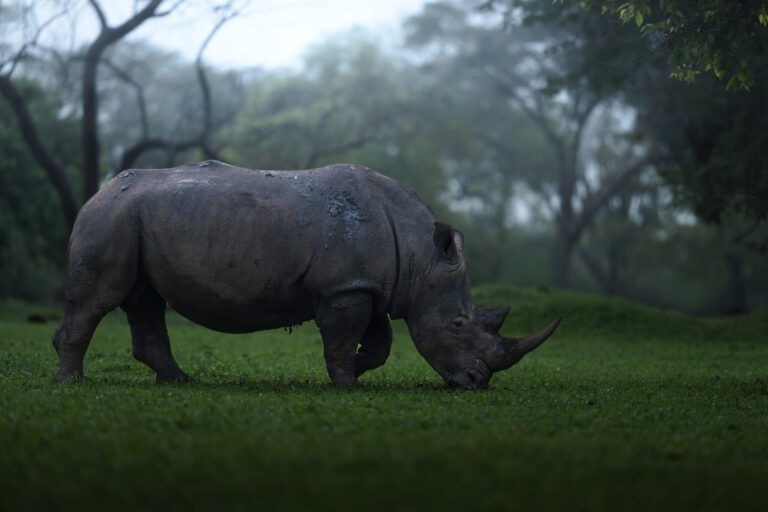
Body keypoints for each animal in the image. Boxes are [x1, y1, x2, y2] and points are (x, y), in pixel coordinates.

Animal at [53, 161, 561, 389]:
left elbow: (380, 342)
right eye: (458, 324)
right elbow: (342, 337)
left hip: (133, 218)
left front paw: (357, 369)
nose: (477, 382)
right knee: (101, 299)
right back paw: (72, 383)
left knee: (144, 301)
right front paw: (346, 384)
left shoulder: (367, 284)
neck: (420, 256)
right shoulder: (344, 287)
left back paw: (179, 381)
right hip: (111, 218)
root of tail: (99, 191)